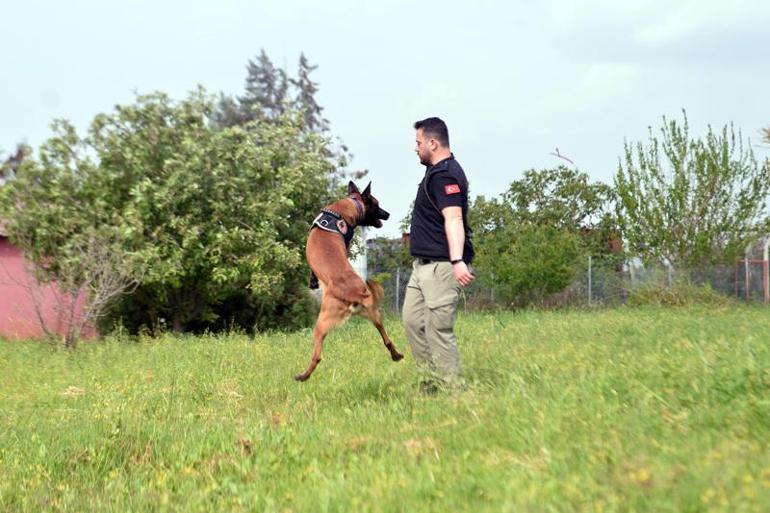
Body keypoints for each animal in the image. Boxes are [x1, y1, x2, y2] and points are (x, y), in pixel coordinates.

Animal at [292, 181, 402, 380]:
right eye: (377, 204)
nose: (388, 214)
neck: (351, 203)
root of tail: (357, 294)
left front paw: (313, 282)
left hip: (321, 324)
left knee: (317, 356)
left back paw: (303, 376)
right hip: (375, 315)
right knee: (387, 339)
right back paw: (396, 355)